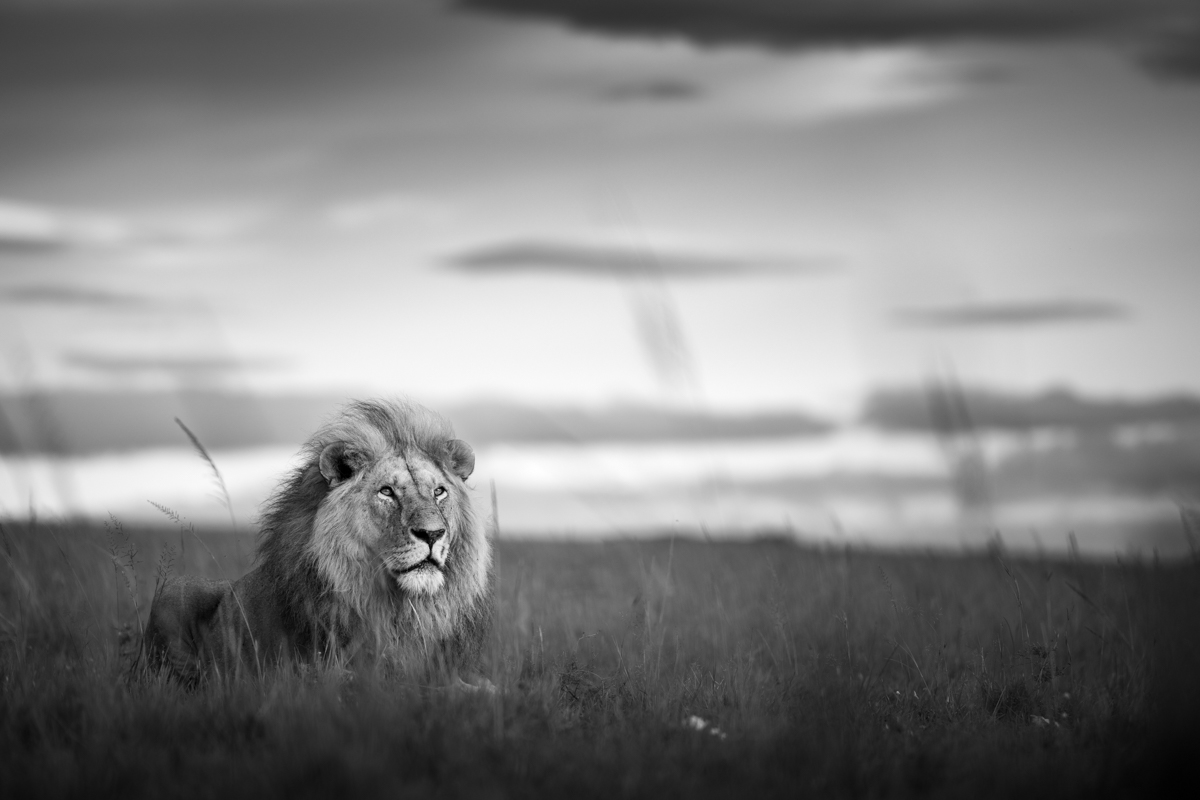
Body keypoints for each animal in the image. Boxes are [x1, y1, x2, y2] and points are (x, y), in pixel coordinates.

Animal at [144, 399, 493, 685]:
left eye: (439, 492)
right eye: (387, 492)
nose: (432, 534)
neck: (401, 608)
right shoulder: (318, 671)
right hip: (173, 589)